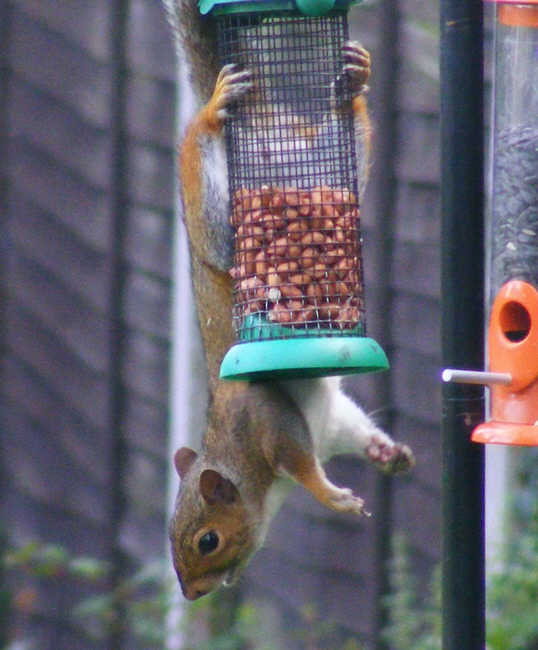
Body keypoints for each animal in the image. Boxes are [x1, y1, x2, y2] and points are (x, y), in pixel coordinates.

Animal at [163, 0, 414, 601]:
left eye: (207, 541)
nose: (193, 594)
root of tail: (259, 128)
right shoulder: (328, 423)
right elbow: (353, 433)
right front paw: (384, 456)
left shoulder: (270, 423)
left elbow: (305, 467)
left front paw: (336, 494)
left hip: (219, 227)